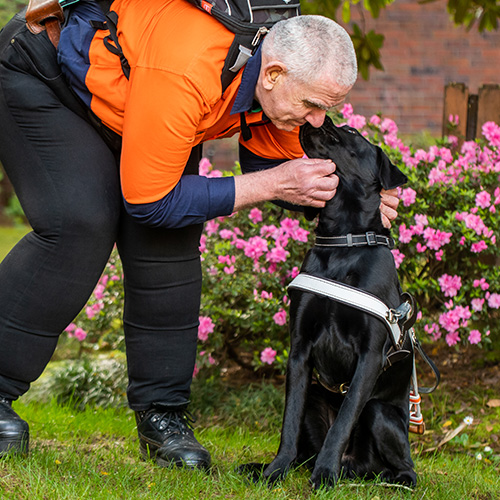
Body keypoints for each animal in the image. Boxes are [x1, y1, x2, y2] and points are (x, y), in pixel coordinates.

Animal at [242, 116, 418, 488]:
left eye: (351, 132)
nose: (318, 120)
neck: (342, 244)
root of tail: (358, 468)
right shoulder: (299, 350)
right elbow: (289, 423)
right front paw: (275, 470)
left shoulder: (369, 357)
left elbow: (345, 417)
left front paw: (324, 474)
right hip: (315, 400)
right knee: (303, 449)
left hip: (380, 413)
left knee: (405, 464)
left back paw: (391, 479)